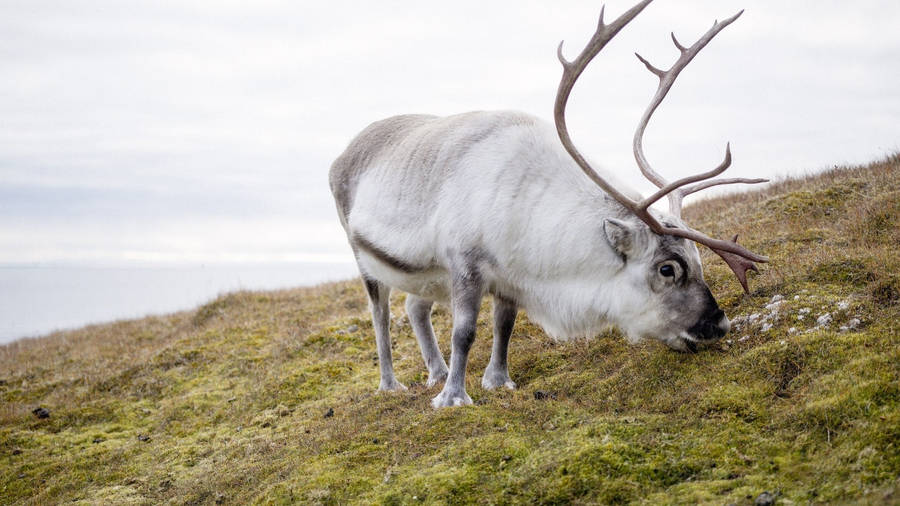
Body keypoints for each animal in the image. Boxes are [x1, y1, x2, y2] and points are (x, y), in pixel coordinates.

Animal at [329, 0, 767, 408]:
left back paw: (435, 372)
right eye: (667, 269)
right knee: (381, 315)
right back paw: (391, 383)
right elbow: (464, 332)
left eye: (697, 260)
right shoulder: (465, 264)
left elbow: (504, 325)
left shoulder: (507, 276)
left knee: (414, 306)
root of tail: (344, 153)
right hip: (361, 254)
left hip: (427, 274)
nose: (719, 325)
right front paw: (453, 397)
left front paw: (497, 380)